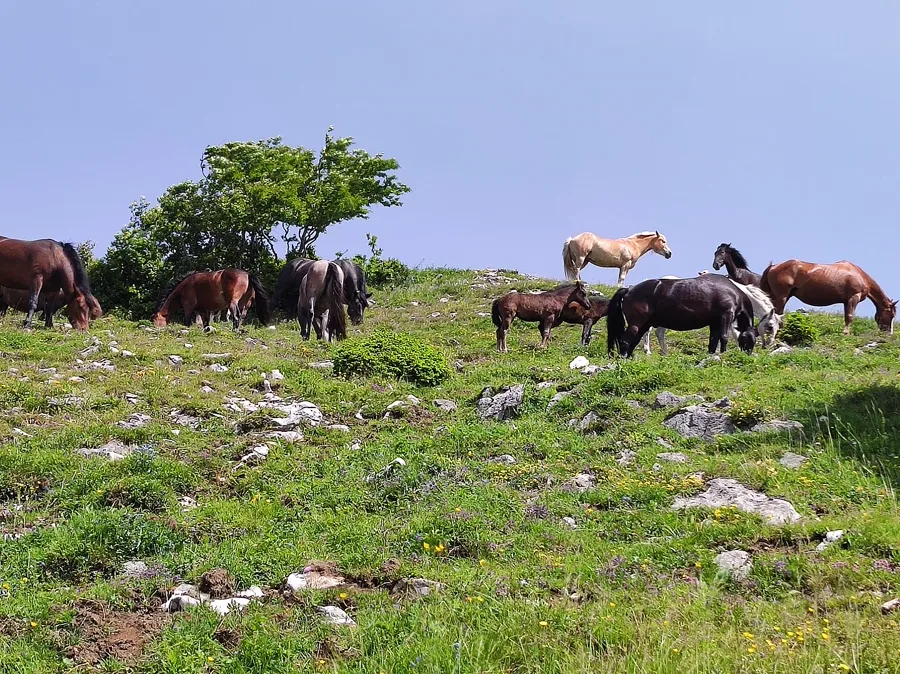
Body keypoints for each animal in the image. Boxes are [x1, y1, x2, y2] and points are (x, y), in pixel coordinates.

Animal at [607, 275, 756, 358]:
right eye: (748, 340)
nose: (748, 355)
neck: (733, 293)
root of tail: (629, 289)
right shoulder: (726, 316)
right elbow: (724, 337)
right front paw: (723, 354)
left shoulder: (714, 323)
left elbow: (713, 341)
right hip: (636, 325)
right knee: (625, 342)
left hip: (643, 326)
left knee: (633, 342)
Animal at [640, 275, 781, 355]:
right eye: (770, 326)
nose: (768, 344)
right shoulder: (727, 317)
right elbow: (729, 335)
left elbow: (717, 337)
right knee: (649, 332)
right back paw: (648, 351)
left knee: (658, 333)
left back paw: (664, 352)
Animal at [761, 260, 897, 335]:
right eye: (892, 315)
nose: (888, 333)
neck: (860, 275)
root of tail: (773, 266)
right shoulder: (854, 298)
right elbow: (850, 317)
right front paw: (846, 333)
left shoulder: (846, 301)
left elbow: (846, 317)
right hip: (782, 296)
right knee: (778, 313)